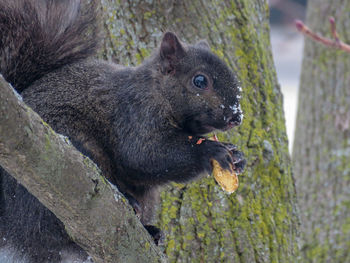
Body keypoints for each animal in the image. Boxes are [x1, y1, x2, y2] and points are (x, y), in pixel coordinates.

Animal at [0, 0, 246, 263]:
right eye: (200, 81)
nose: (236, 116)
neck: (157, 91)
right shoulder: (134, 115)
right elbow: (143, 155)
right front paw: (211, 151)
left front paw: (237, 156)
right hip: (65, 161)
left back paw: (152, 231)